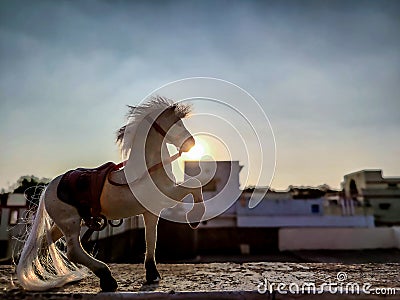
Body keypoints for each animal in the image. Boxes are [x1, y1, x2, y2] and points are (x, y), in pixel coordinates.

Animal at [16, 97, 205, 292]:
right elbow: (195, 184)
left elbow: (151, 240)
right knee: (73, 251)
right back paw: (106, 278)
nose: (191, 143)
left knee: (44, 244)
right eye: (176, 123)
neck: (148, 169)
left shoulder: (151, 212)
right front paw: (195, 218)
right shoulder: (166, 196)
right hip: (71, 223)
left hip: (63, 225)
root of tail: (48, 188)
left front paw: (152, 274)